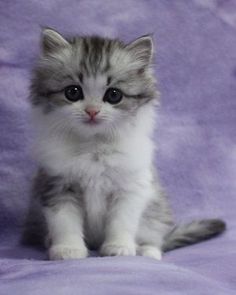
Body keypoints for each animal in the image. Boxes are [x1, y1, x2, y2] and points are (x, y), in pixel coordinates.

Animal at [22, 28, 227, 260]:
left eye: (114, 95)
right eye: (72, 92)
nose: (92, 111)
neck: (94, 146)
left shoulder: (130, 188)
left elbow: (121, 223)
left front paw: (119, 248)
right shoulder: (57, 185)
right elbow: (65, 224)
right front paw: (68, 249)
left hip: (155, 212)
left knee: (156, 239)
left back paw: (148, 252)